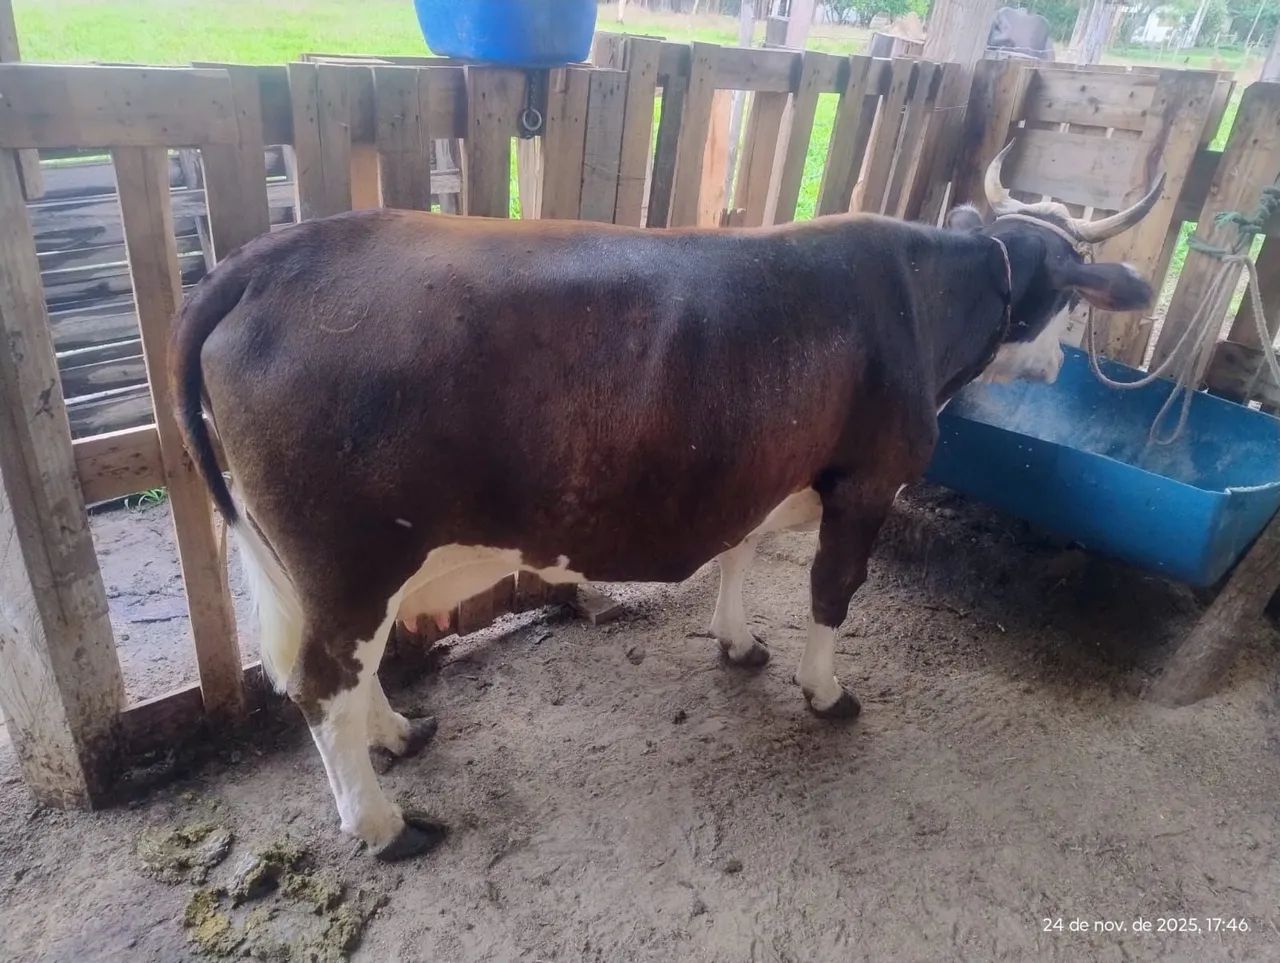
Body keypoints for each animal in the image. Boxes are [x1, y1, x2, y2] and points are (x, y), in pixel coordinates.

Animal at [170, 145, 1160, 860]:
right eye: (1074, 297)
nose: (1058, 365)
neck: (922, 298)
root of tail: (267, 258)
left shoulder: (761, 465)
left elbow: (742, 554)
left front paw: (738, 641)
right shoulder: (867, 479)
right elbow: (832, 594)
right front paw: (826, 690)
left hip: (334, 567)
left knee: (349, 673)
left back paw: (400, 734)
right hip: (351, 552)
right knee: (322, 682)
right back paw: (383, 823)